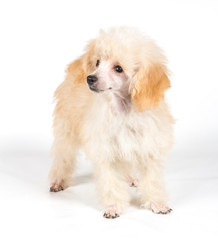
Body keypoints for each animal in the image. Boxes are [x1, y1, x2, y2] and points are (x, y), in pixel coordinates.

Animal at [49, 27, 174, 218]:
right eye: (98, 62)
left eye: (118, 69)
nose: (90, 78)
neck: (125, 110)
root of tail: (78, 63)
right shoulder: (106, 150)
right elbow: (111, 182)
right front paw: (114, 206)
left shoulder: (148, 147)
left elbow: (152, 180)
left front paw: (156, 203)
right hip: (67, 130)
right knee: (63, 157)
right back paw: (58, 180)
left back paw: (130, 178)